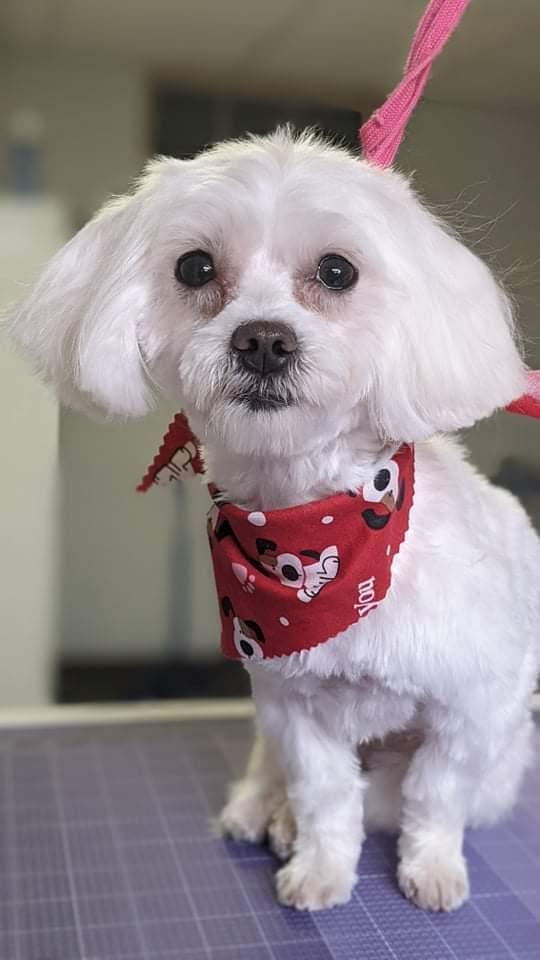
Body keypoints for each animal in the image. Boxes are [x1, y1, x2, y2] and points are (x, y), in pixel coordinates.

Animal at [9, 129, 540, 913]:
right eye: (195, 267)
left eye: (337, 270)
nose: (262, 339)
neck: (307, 519)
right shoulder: (293, 707)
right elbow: (325, 796)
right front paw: (319, 867)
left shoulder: (472, 706)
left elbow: (434, 795)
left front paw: (433, 867)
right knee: (279, 773)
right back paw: (265, 809)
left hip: (505, 756)